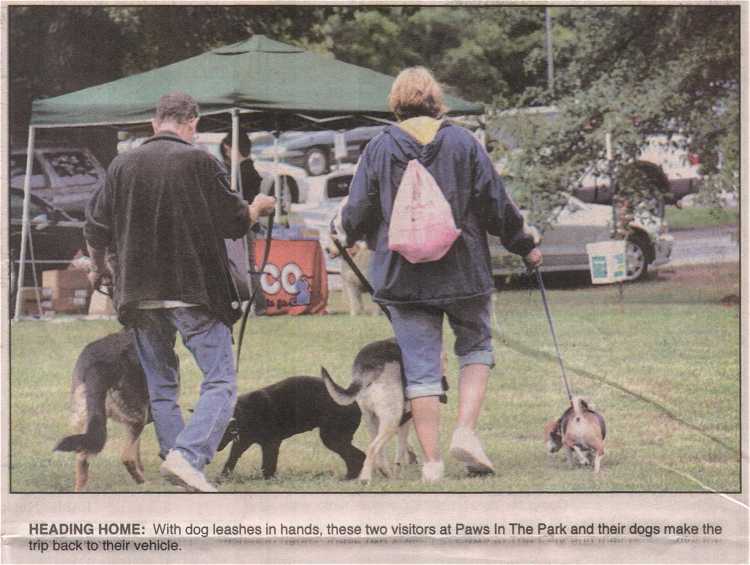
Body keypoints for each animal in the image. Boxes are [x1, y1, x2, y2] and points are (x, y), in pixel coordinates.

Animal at [53, 328, 151, 492]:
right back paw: (142, 482)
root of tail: (97, 365)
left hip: (85, 421)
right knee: (126, 457)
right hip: (138, 417)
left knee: (82, 459)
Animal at [216, 376, 366, 478]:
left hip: (333, 438)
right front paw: (222, 479)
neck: (244, 413)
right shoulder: (242, 442)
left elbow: (268, 465)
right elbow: (231, 460)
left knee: (357, 456)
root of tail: (355, 405)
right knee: (354, 457)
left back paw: (350, 478)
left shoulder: (271, 444)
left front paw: (268, 479)